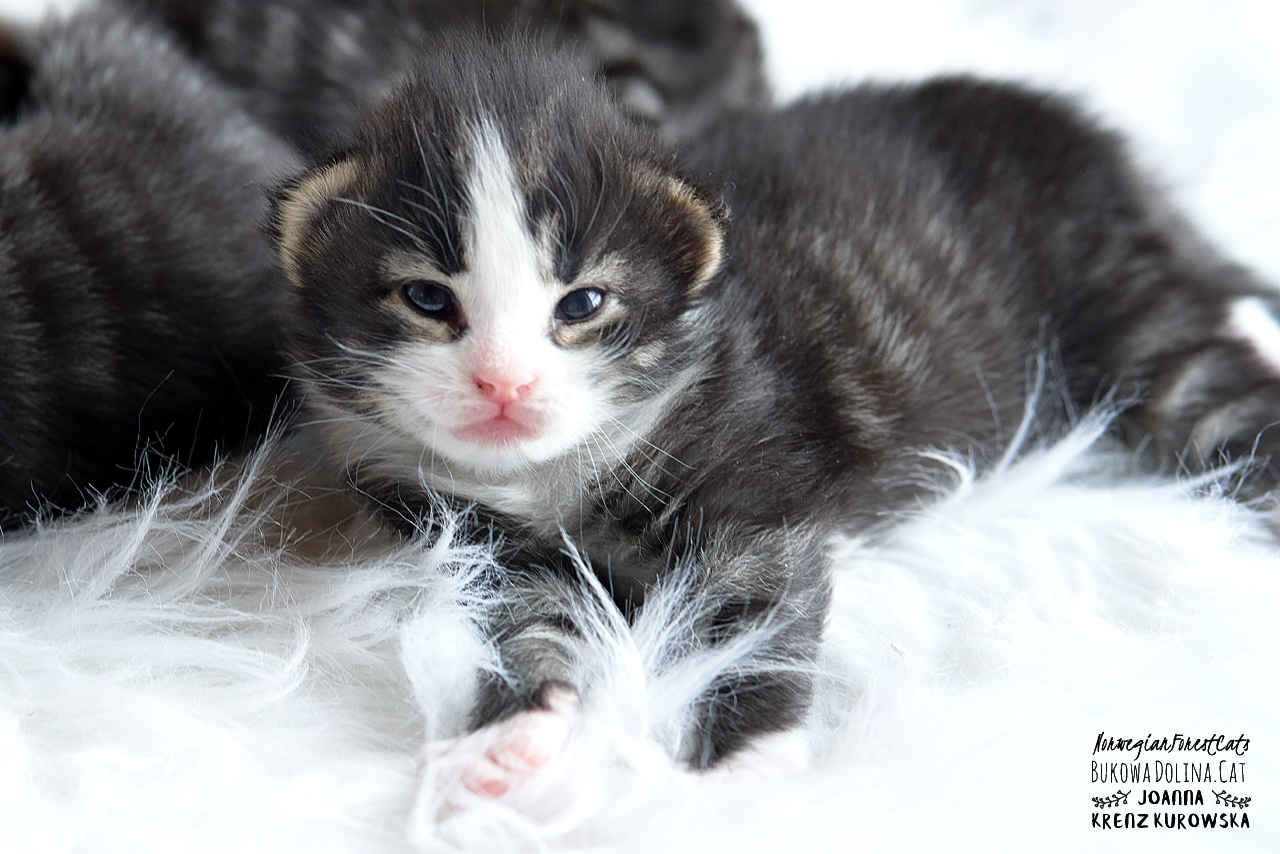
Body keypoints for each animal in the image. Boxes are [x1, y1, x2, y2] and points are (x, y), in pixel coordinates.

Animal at [273, 29, 1280, 789]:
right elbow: (530, 631)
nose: (503, 384)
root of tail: (1092, 141)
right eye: (427, 299)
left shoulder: (758, 490)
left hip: (1121, 300)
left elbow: (757, 622)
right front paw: (506, 739)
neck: (558, 474)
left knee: (1207, 386)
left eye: (583, 304)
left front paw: (741, 772)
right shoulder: (488, 547)